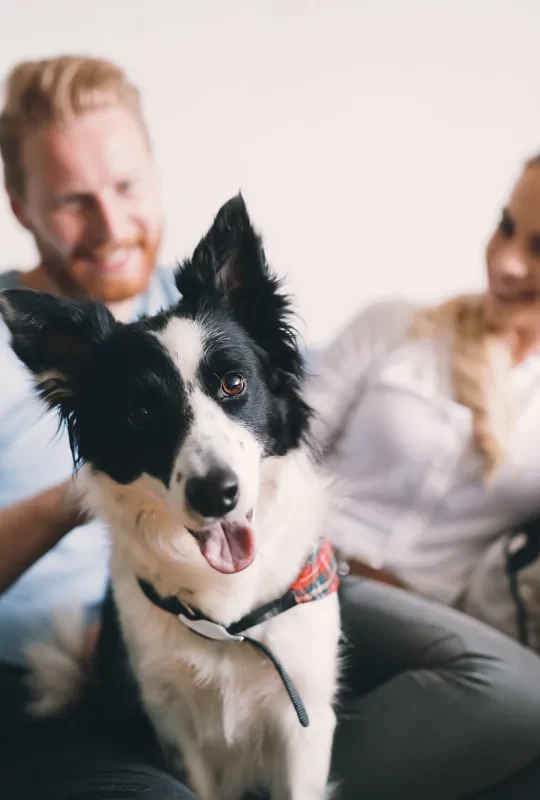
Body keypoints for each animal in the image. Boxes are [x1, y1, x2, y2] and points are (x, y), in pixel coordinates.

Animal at [1, 195, 342, 800]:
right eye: (139, 414)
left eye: (234, 384)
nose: (217, 495)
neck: (228, 615)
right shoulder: (175, 723)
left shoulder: (302, 716)